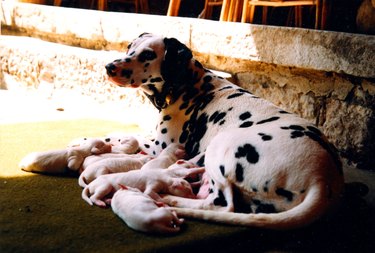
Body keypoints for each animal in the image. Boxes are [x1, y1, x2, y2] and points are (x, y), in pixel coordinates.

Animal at [104, 32, 346, 230]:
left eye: (147, 54)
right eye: (130, 47)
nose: (110, 67)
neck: (189, 83)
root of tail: (323, 178)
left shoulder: (159, 147)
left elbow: (125, 136)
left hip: (219, 148)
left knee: (220, 205)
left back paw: (170, 199)